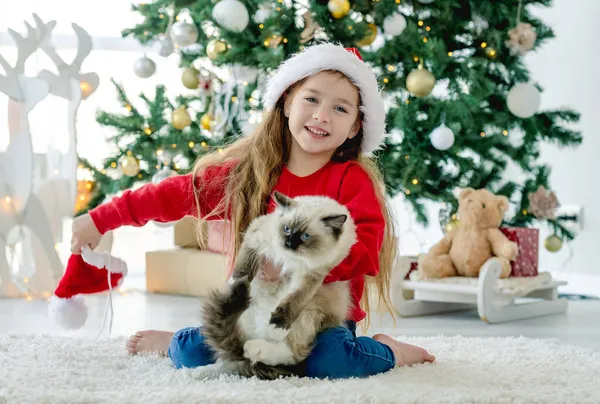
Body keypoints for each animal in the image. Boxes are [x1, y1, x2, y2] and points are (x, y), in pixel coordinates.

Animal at [196, 191, 356, 380]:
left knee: (289, 354)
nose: (289, 244)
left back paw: (254, 348)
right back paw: (199, 372)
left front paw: (277, 326)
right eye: (287, 229)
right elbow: (243, 268)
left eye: (305, 236)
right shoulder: (255, 237)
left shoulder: (311, 274)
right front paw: (234, 283)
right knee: (234, 358)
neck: (289, 259)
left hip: (309, 313)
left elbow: (293, 300)